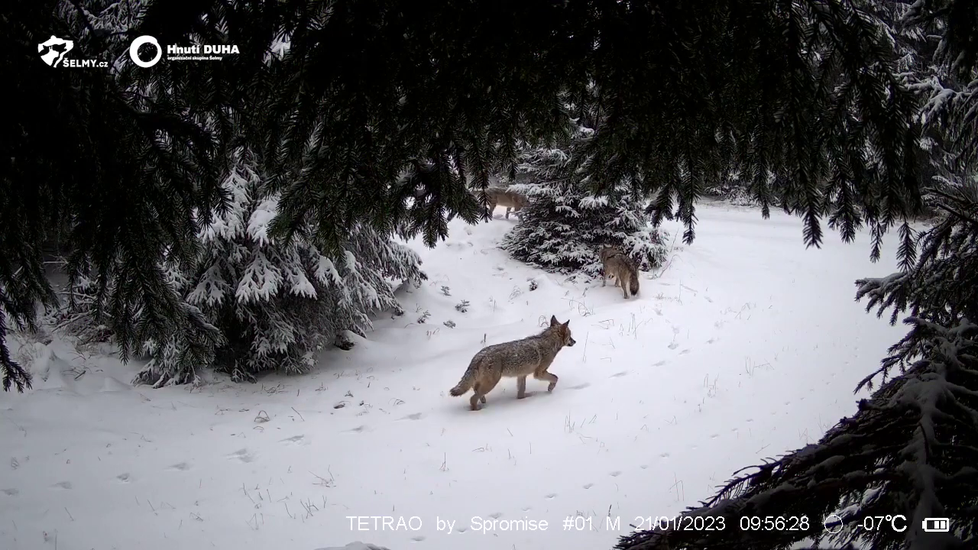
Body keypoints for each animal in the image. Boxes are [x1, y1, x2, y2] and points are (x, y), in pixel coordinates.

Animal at [448, 316, 576, 412]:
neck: (549, 341)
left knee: (475, 390)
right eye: (570, 336)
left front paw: (525, 398)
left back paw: (483, 401)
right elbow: (555, 378)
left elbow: (521, 393)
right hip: (491, 383)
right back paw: (477, 410)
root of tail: (479, 355)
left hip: (484, 383)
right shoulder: (539, 373)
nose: (575, 341)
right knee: (472, 398)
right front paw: (550, 388)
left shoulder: (522, 375)